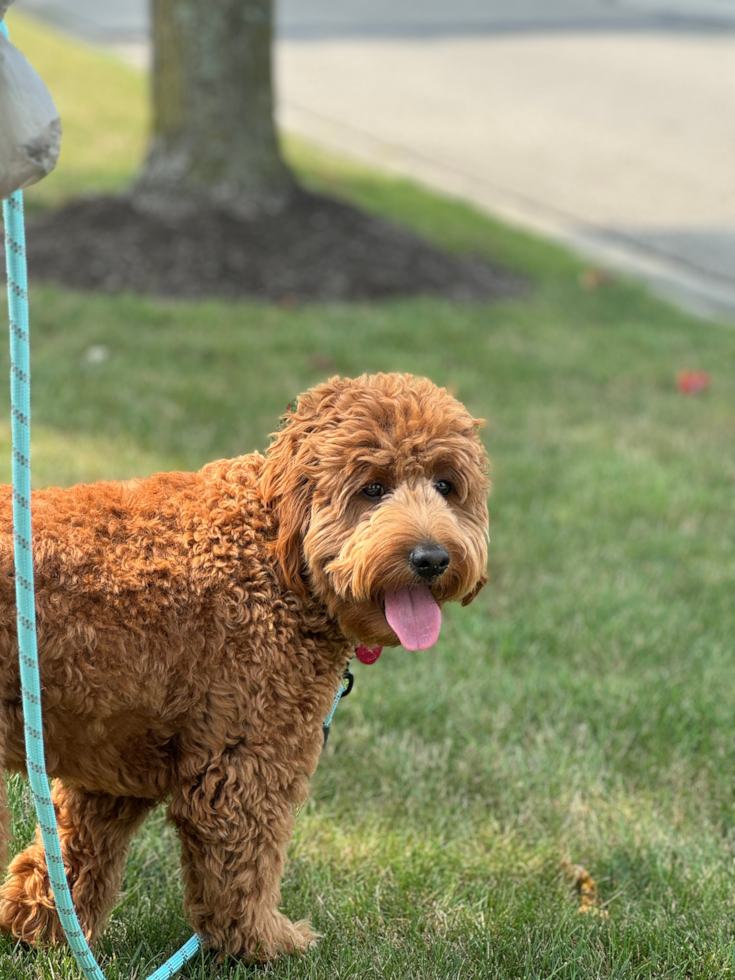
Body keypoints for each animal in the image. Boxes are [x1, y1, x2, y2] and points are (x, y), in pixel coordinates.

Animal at [0, 372, 488, 960]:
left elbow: (71, 856)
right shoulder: (245, 763)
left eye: (446, 486)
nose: (432, 558)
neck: (275, 551)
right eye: (372, 489)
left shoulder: (115, 764)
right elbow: (243, 868)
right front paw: (262, 943)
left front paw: (39, 927)